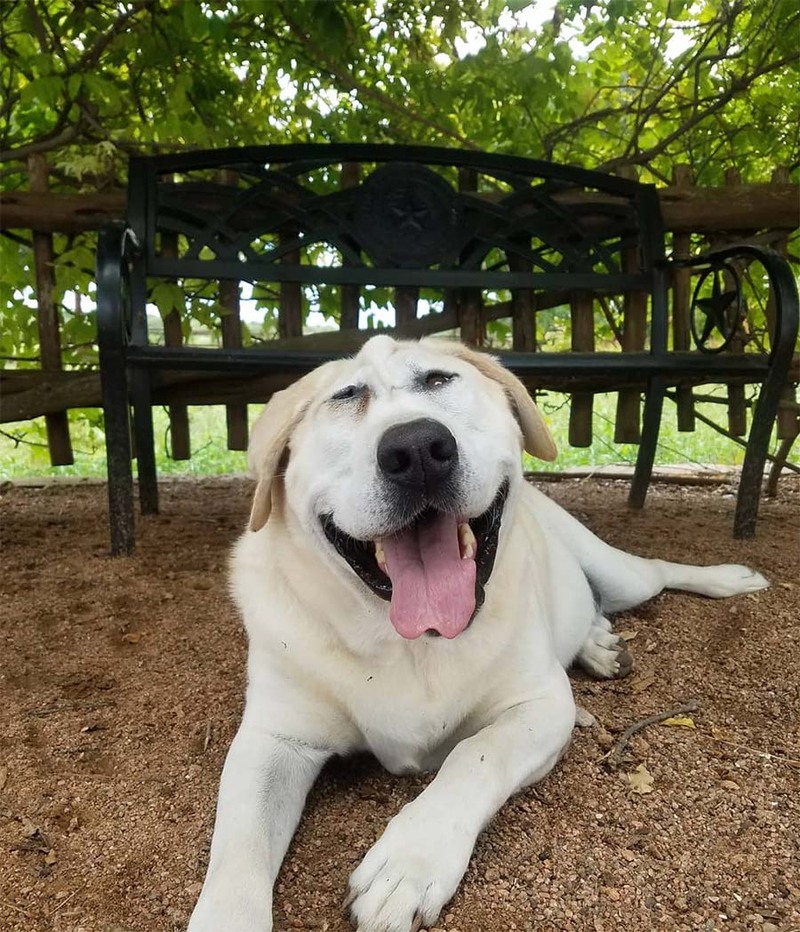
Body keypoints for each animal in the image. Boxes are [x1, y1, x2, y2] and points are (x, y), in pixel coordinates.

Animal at [188, 334, 768, 932]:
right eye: (346, 396)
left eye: (439, 379)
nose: (417, 448)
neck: (411, 645)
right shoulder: (273, 740)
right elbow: (237, 852)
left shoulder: (541, 706)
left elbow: (475, 755)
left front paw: (408, 863)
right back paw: (599, 645)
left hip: (621, 574)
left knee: (653, 571)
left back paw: (728, 578)